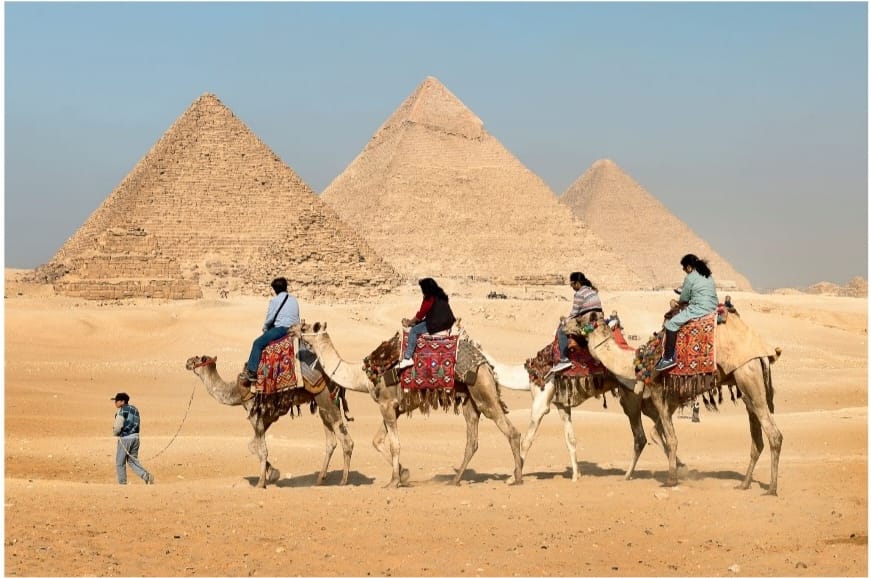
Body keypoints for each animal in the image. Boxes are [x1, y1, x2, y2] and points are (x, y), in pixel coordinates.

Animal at [185, 354, 354, 484]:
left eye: (198, 358)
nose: (187, 362)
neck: (235, 391)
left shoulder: (255, 414)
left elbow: (261, 450)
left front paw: (262, 482)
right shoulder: (268, 417)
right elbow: (252, 446)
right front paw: (273, 473)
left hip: (325, 397)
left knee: (346, 440)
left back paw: (343, 481)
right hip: (323, 403)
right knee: (331, 441)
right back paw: (320, 479)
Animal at [298, 320, 524, 486]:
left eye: (304, 328)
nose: (292, 329)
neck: (363, 376)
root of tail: (486, 363)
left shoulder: (387, 405)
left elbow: (394, 444)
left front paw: (394, 482)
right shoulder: (393, 407)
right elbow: (378, 441)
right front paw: (402, 475)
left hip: (483, 391)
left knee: (511, 431)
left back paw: (517, 478)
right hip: (470, 399)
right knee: (472, 441)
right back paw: (455, 479)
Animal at [568, 310, 788, 496]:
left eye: (579, 319)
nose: (564, 323)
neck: (637, 363)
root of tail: (765, 354)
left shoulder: (658, 391)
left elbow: (670, 437)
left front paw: (671, 479)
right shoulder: (671, 398)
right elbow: (657, 433)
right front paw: (679, 470)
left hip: (747, 375)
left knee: (774, 434)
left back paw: (772, 488)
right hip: (746, 386)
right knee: (757, 438)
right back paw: (744, 484)